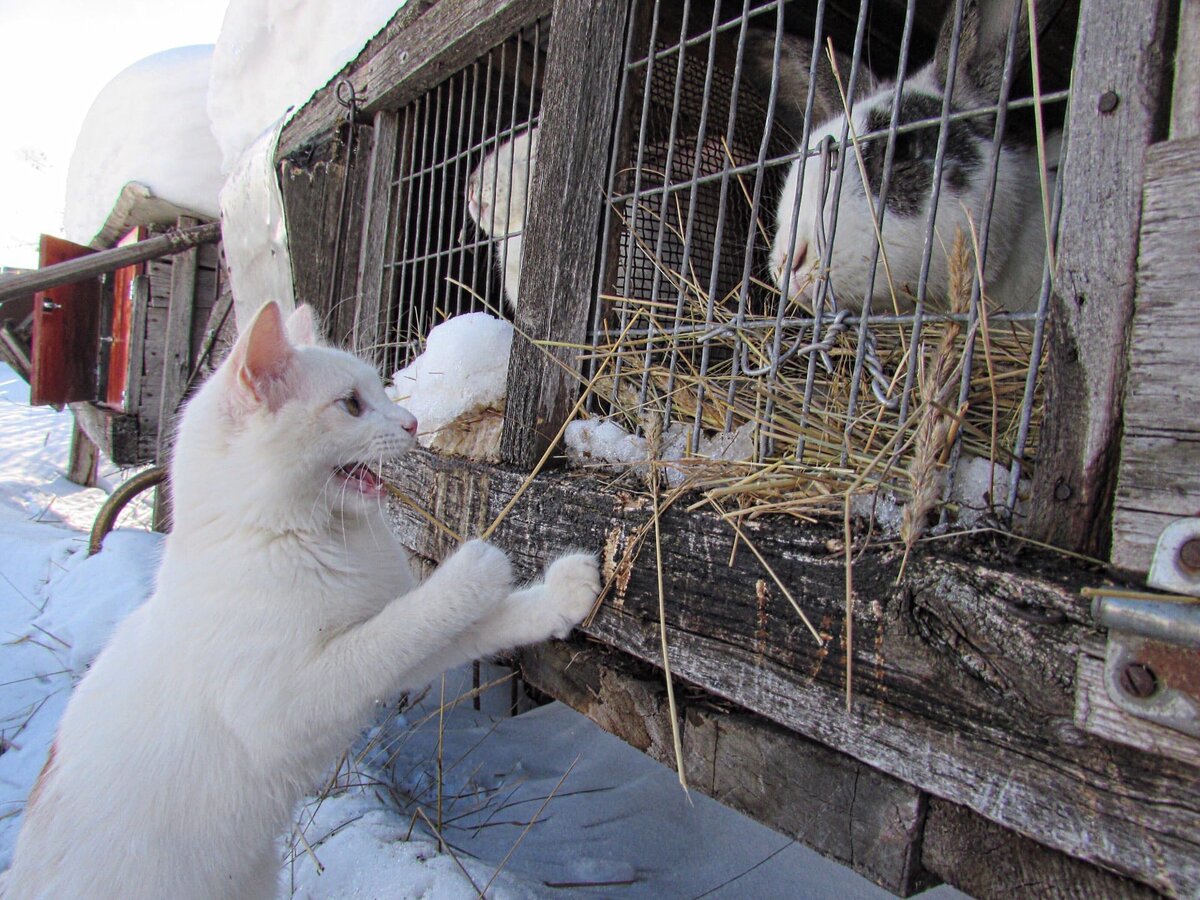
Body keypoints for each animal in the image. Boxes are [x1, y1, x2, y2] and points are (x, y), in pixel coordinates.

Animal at [0, 304, 600, 900]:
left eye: (379, 391)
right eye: (352, 405)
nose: (409, 423)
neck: (301, 536)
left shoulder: (385, 660)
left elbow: (468, 627)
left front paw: (563, 593)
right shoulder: (294, 700)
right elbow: (404, 624)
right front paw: (476, 566)